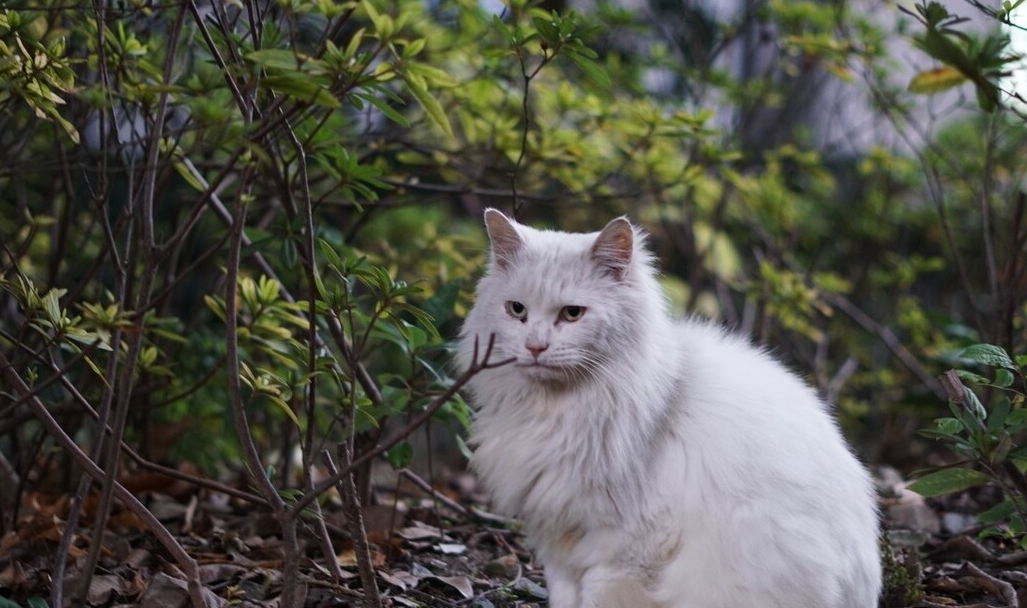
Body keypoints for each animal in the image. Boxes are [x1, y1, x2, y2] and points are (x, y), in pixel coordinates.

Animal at [458, 210, 883, 608]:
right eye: (517, 310)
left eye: (572, 314)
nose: (535, 347)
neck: (559, 412)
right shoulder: (559, 539)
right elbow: (565, 598)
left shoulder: (625, 549)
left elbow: (598, 598)